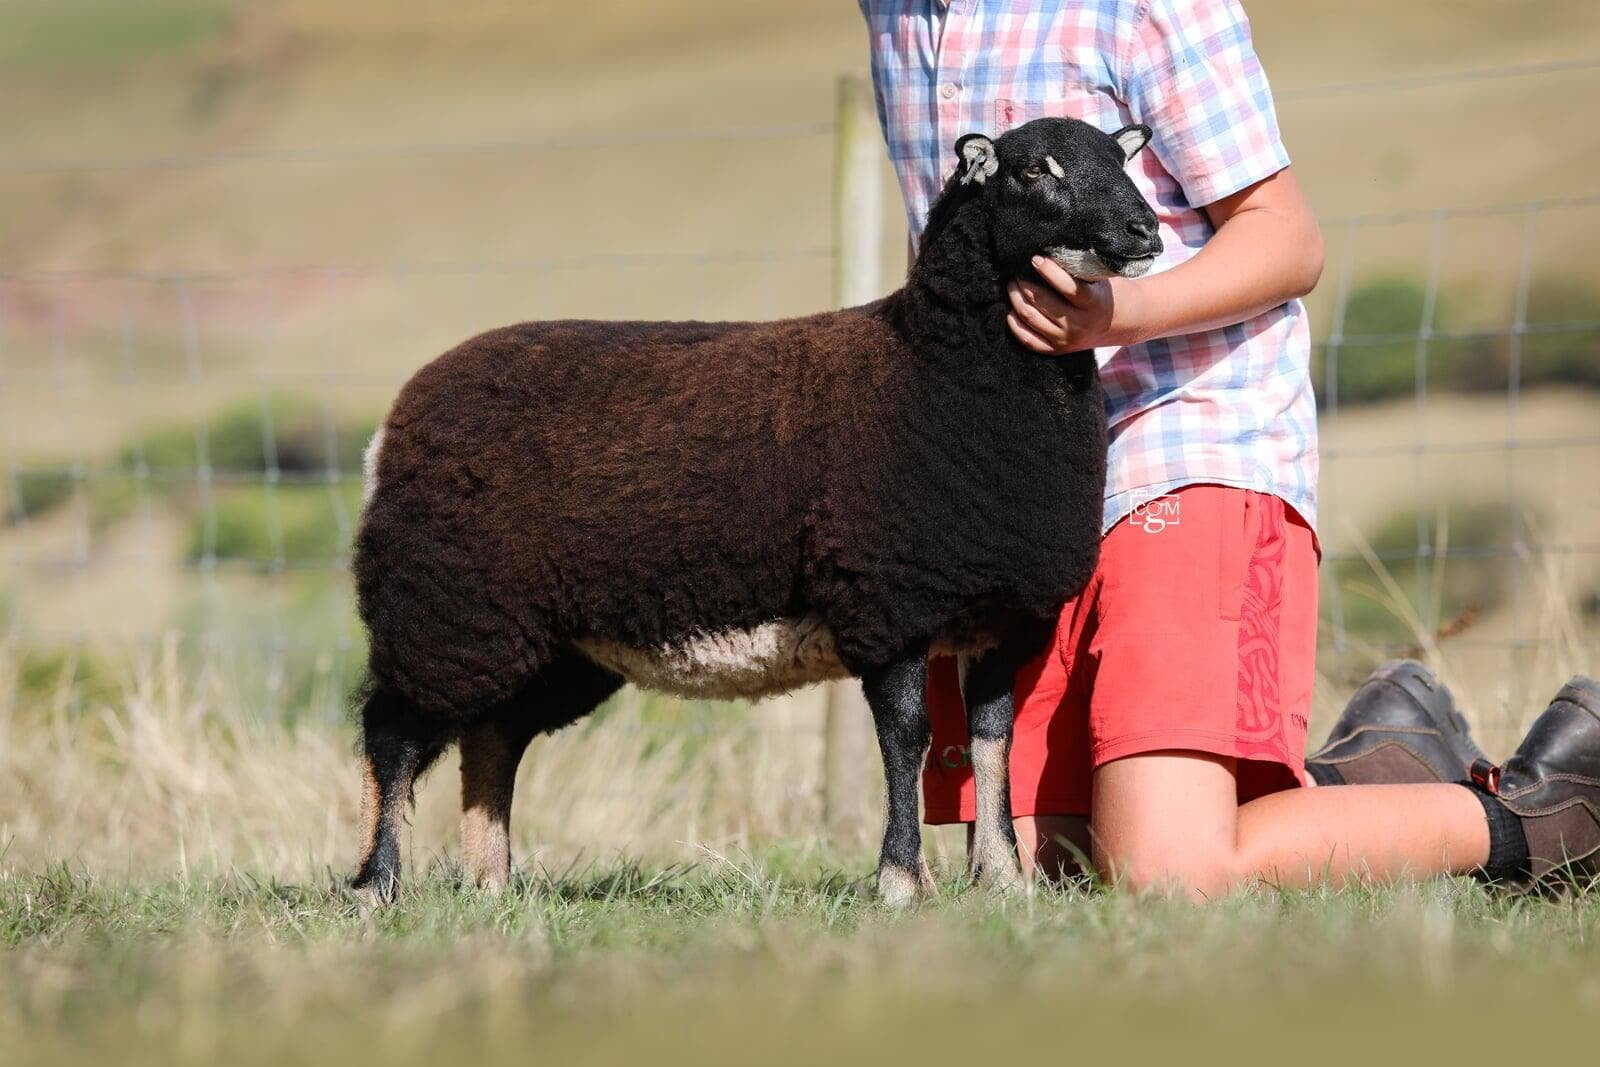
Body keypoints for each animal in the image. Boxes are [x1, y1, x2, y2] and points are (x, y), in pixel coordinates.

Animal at [349, 116, 1161, 906]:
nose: (1145, 230)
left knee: (492, 738)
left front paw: (1003, 878)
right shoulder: (889, 599)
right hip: (445, 608)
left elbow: (995, 743)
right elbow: (908, 738)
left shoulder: (1002, 615)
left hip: (540, 637)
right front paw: (901, 881)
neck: (932, 366)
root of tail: (397, 419)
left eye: (1122, 159)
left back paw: (492, 886)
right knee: (391, 730)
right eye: (1034, 170)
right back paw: (377, 884)